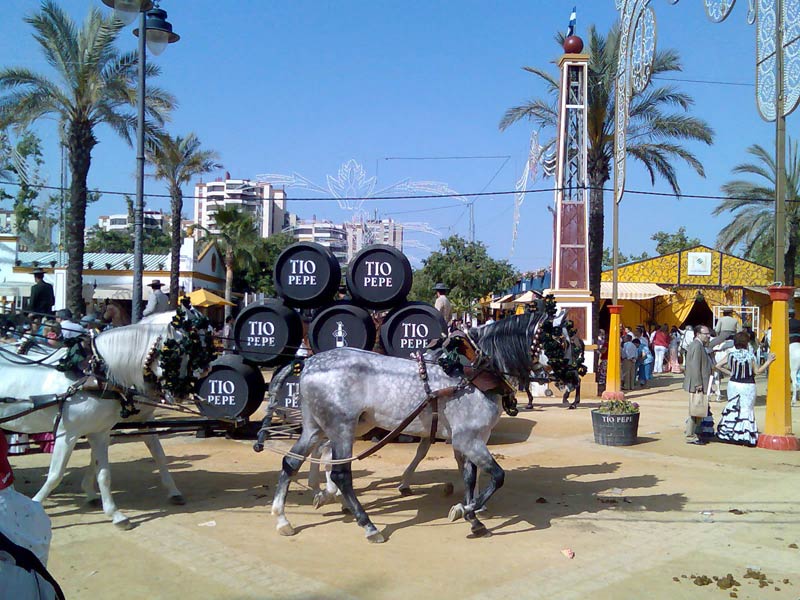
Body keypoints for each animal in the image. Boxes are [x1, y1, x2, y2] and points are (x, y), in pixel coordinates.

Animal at [0, 312, 212, 528]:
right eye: (175, 353)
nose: (181, 393)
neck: (96, 376)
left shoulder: (102, 431)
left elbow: (105, 473)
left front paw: (114, 513)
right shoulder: (67, 434)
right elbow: (56, 474)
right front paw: (34, 504)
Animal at [268, 302, 580, 540]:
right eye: (560, 342)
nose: (574, 378)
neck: (474, 371)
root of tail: (310, 363)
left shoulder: (469, 439)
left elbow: (470, 477)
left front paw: (472, 516)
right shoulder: (469, 438)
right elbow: (497, 476)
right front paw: (468, 510)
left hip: (318, 426)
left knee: (292, 462)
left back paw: (283, 518)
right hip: (341, 427)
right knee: (340, 473)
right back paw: (368, 525)